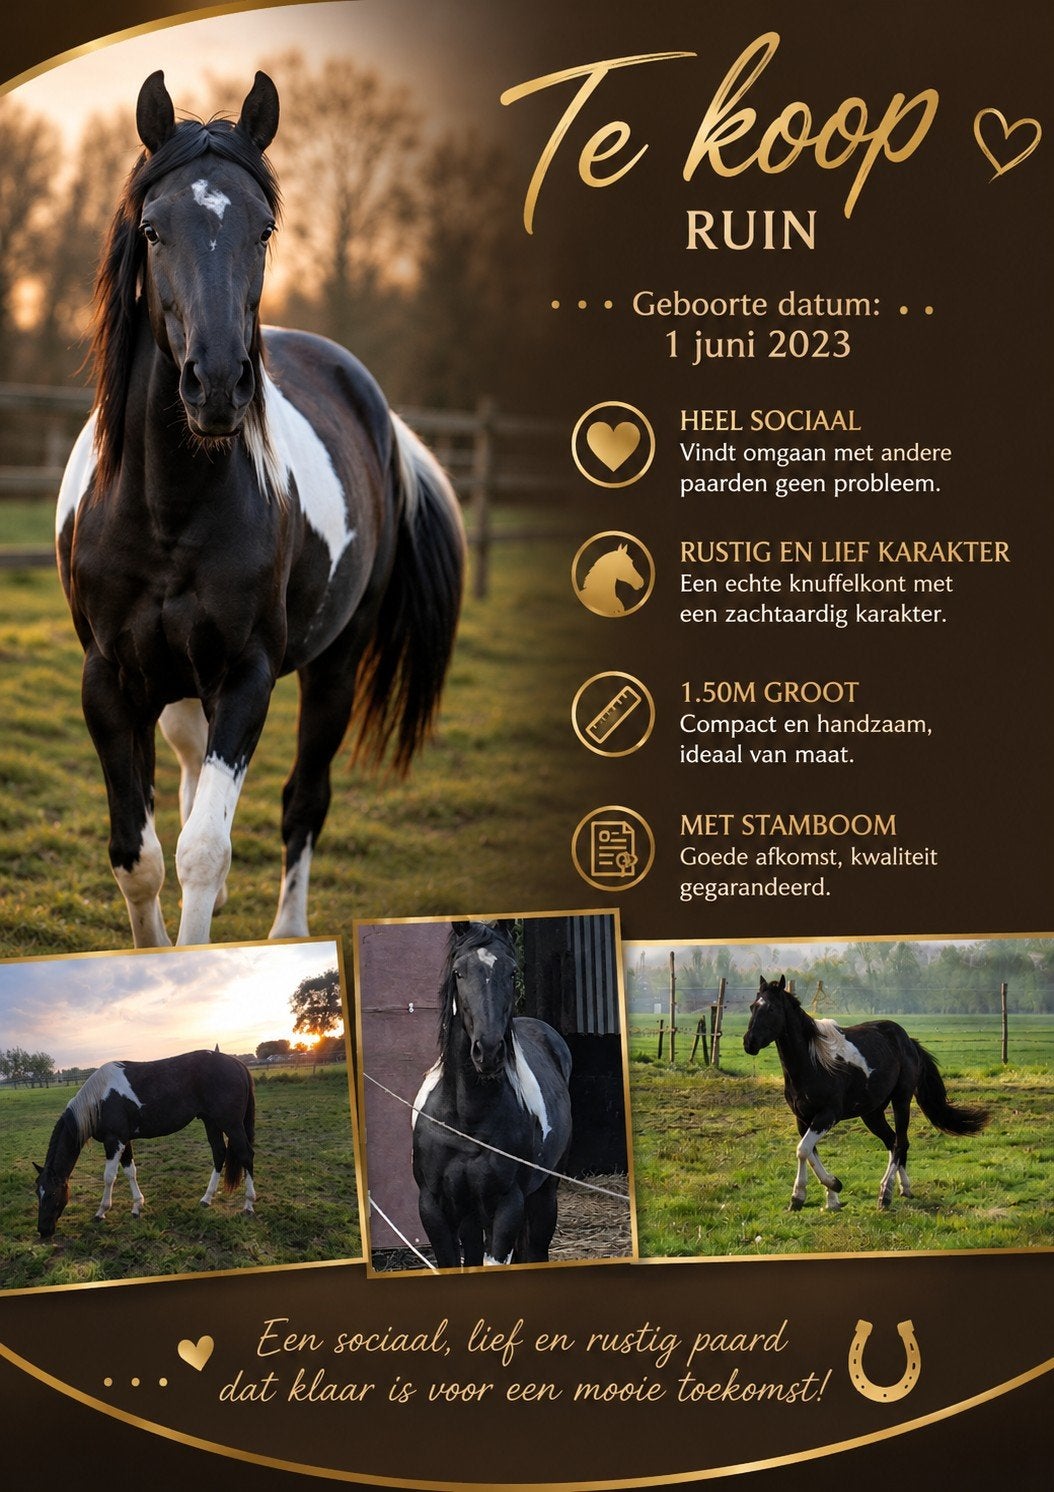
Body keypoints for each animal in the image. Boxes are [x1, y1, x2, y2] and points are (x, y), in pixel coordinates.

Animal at [34, 1048, 256, 1239]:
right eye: (38, 1192)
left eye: (52, 1194)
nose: (43, 1231)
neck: (99, 1099)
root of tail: (236, 1064)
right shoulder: (124, 1141)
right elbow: (130, 1171)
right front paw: (137, 1206)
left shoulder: (114, 1141)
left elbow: (109, 1177)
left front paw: (101, 1211)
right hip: (211, 1122)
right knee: (219, 1153)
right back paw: (207, 1199)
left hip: (231, 1124)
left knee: (246, 1155)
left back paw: (249, 1204)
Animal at [55, 71, 464, 946]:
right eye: (153, 228)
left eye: (265, 228)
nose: (216, 384)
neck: (166, 509)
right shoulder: (108, 681)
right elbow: (137, 855)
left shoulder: (247, 676)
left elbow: (205, 849)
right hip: (176, 689)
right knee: (185, 778)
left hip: (336, 664)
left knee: (303, 800)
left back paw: (287, 933)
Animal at [411, 921, 573, 1267]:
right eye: (459, 972)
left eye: (512, 972)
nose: (488, 1051)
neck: (465, 1121)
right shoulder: (434, 1208)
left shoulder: (507, 1205)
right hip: (471, 1216)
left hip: (544, 1193)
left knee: (536, 1248)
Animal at [742, 975, 988, 1211]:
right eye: (753, 1006)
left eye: (771, 1008)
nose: (749, 1043)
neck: (814, 1063)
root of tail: (908, 1041)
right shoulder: (803, 1119)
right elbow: (810, 1153)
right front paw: (832, 1199)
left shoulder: (827, 1116)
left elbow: (803, 1150)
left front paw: (803, 1196)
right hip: (872, 1113)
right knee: (892, 1141)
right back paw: (904, 1188)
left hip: (901, 1100)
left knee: (900, 1143)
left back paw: (885, 1194)